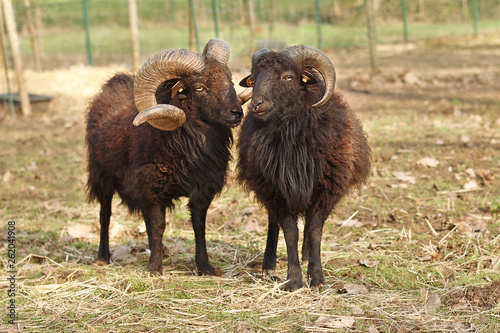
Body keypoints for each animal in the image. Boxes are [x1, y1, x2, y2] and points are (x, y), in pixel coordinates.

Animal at [86, 39, 246, 274]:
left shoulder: (202, 186)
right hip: (102, 175)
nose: (237, 113)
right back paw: (103, 256)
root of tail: (116, 81)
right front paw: (154, 268)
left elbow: (198, 225)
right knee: (105, 214)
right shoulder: (151, 184)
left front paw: (204, 266)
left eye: (230, 79)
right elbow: (159, 224)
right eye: (199, 87)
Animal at [235, 44, 372, 290]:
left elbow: (315, 229)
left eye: (288, 77)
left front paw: (316, 278)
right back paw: (268, 266)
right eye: (254, 77)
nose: (256, 104)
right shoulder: (276, 190)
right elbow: (289, 232)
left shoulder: (327, 189)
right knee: (273, 223)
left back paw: (307, 256)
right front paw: (294, 280)